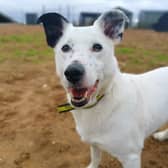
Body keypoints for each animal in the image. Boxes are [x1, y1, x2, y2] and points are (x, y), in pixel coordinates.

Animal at [38, 9, 168, 168]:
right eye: (65, 48)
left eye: (97, 47)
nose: (73, 72)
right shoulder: (94, 143)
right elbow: (95, 159)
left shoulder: (131, 157)